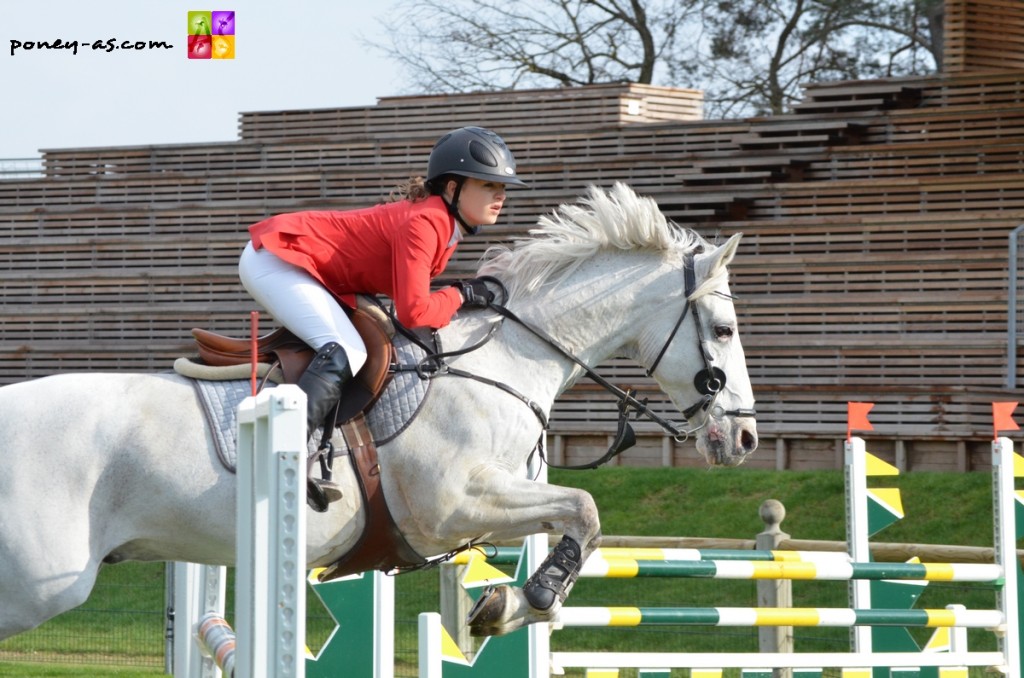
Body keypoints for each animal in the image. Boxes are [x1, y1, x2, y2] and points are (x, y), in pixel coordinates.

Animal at [0, 184, 757, 643]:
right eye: (722, 330)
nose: (745, 438)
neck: (508, 355)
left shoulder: (490, 503)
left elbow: (574, 519)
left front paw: (504, 605)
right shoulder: (452, 506)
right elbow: (586, 509)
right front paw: (533, 597)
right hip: (38, 584)